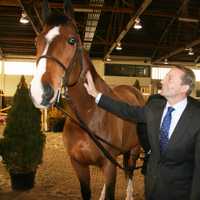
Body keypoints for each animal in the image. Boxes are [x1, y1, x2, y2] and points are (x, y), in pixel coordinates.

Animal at [29, 0, 145, 199]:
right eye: (37, 41)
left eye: (72, 40)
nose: (40, 91)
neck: (89, 114)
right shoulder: (79, 164)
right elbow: (87, 192)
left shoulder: (109, 165)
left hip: (134, 150)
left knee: (129, 171)